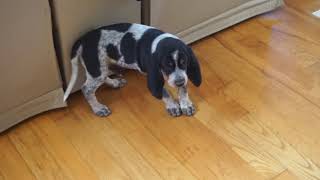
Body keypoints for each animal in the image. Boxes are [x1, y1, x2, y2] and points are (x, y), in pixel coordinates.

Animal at [63, 22, 201, 116]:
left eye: (184, 62)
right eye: (167, 65)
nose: (179, 82)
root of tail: (82, 39)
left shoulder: (183, 74)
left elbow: (183, 89)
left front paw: (185, 104)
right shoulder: (153, 74)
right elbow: (164, 92)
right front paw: (172, 105)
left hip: (100, 67)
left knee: (103, 76)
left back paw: (114, 82)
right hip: (96, 67)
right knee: (86, 89)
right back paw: (98, 108)